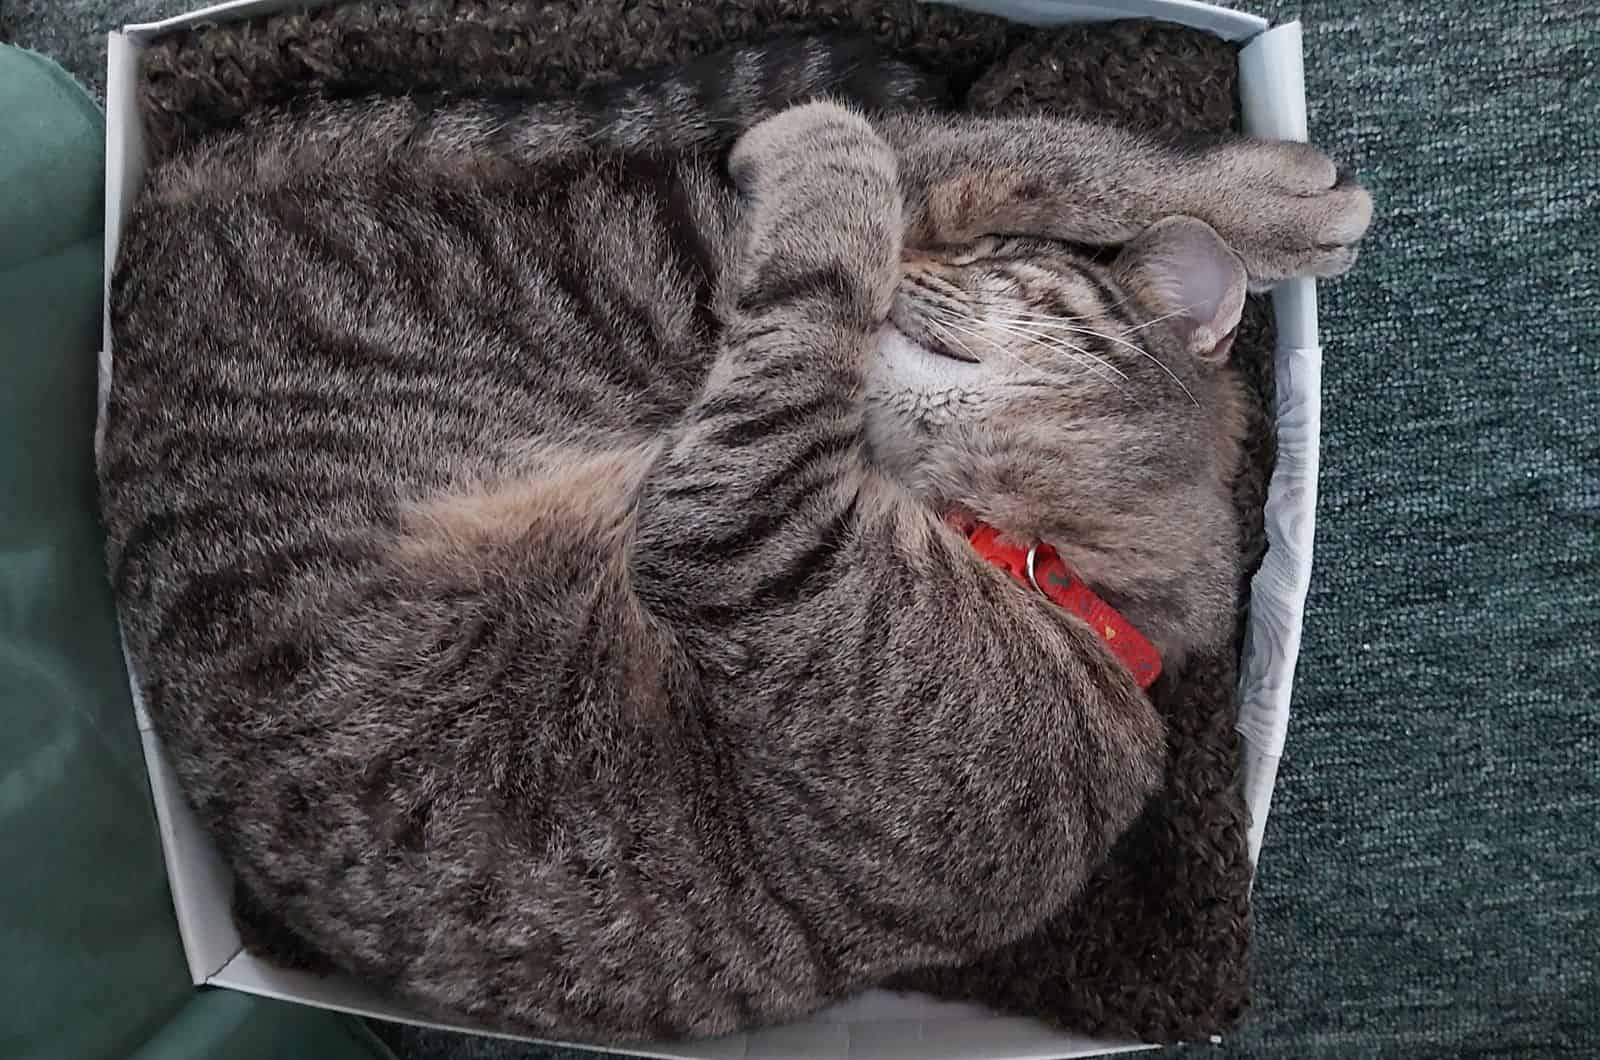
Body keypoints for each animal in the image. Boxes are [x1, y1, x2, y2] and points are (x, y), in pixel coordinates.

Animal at [103, 35, 1376, 1043]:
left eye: (1001, 278)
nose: (923, 276)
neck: (1056, 580)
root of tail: (149, 229)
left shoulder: (742, 517)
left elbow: (849, 265)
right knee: (953, 152)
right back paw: (1247, 191)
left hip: (643, 274)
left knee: (925, 165)